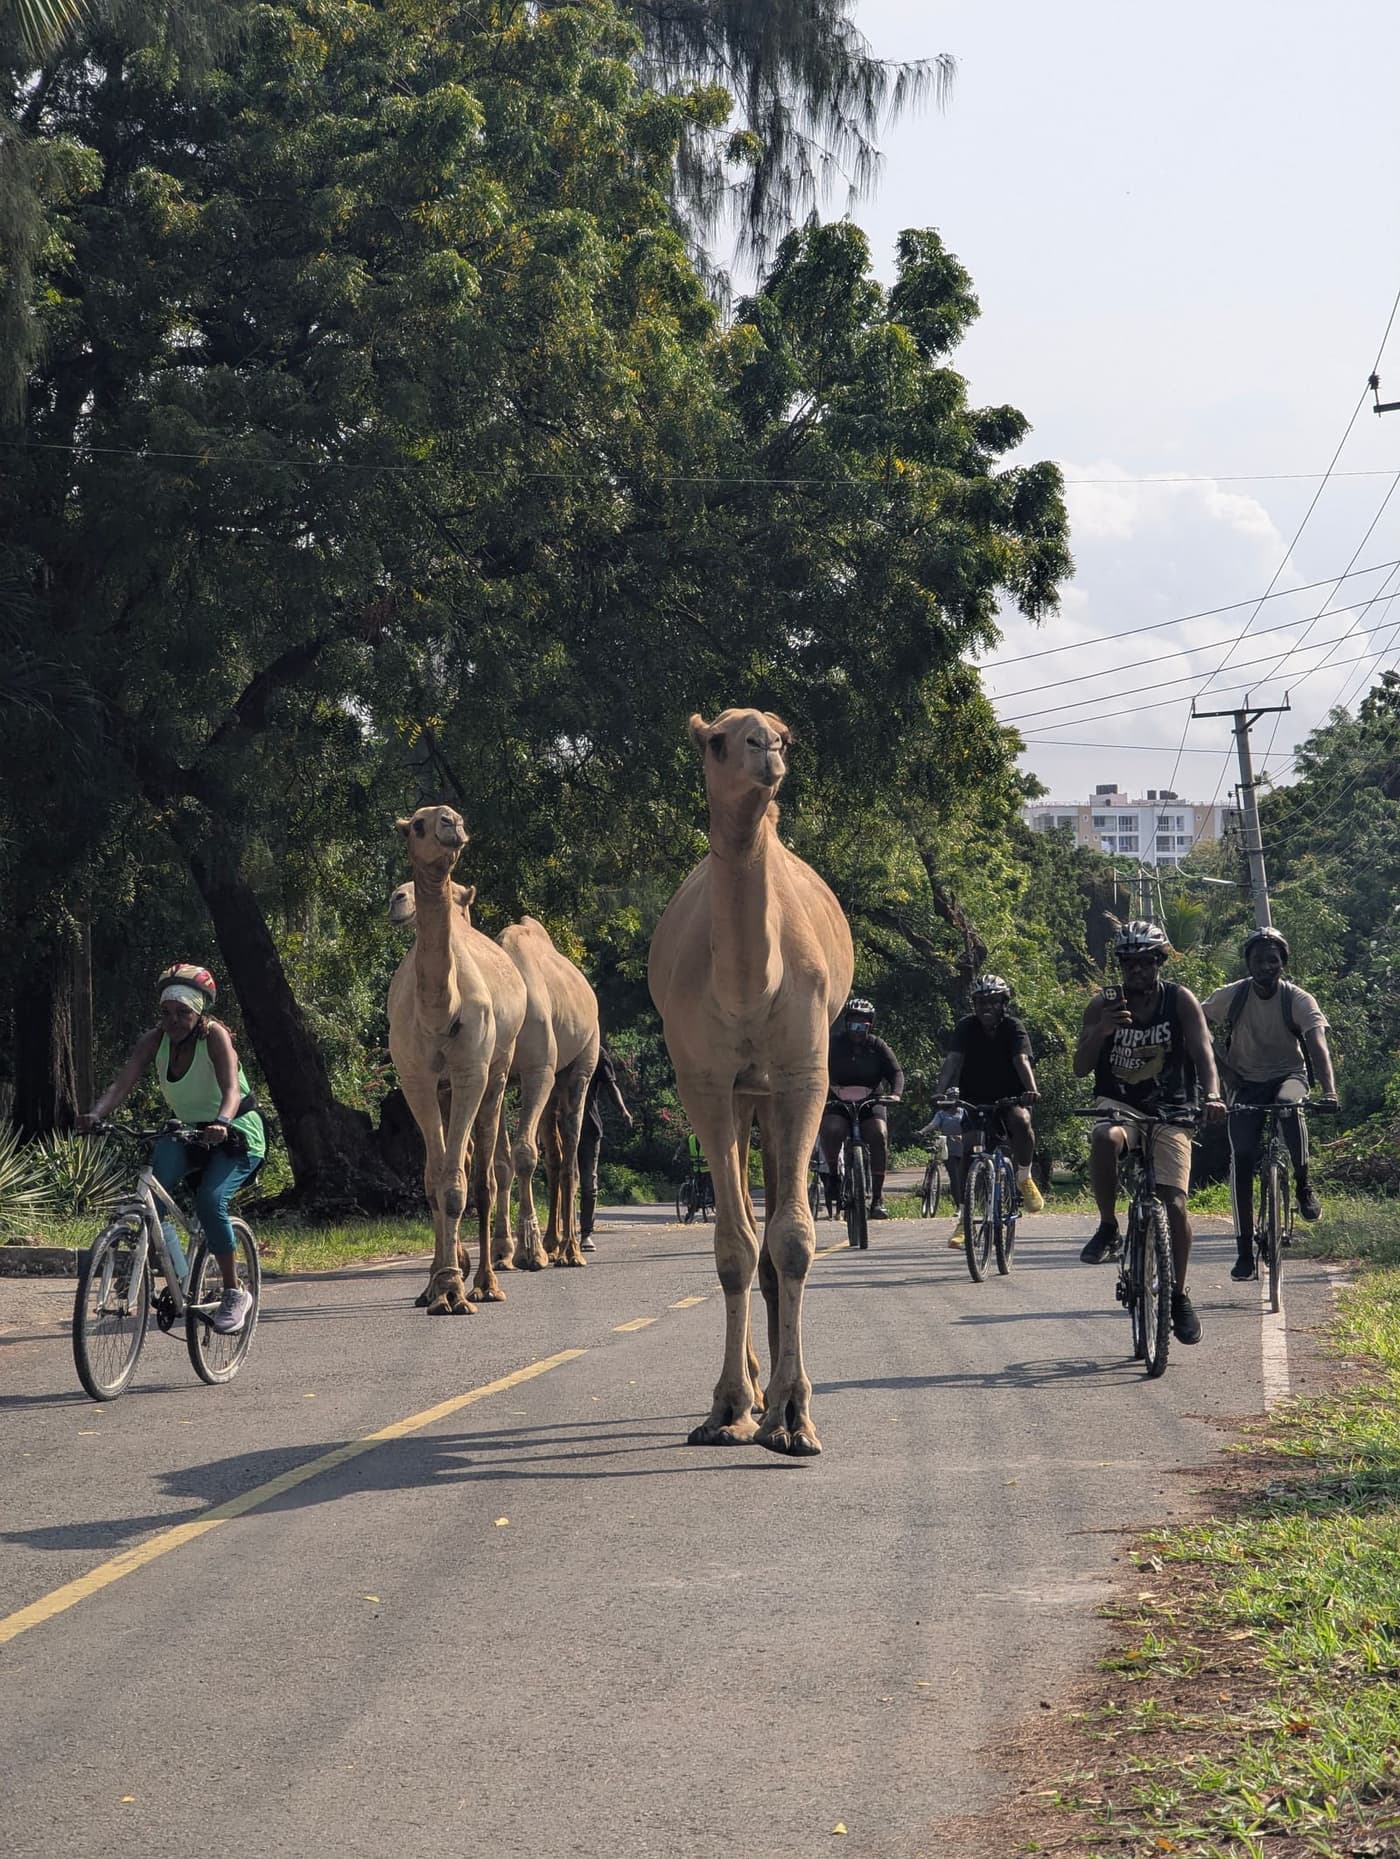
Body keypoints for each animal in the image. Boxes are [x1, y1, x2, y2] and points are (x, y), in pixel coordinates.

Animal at [386, 806, 527, 1314]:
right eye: (418, 825)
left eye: (452, 817)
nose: (452, 823)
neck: (440, 1014)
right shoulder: (416, 1078)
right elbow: (433, 1181)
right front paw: (439, 1284)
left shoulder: (470, 1072)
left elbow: (456, 1185)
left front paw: (454, 1290)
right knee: (455, 1164)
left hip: (498, 1072)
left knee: (484, 1176)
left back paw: (486, 1282)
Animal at [490, 918, 600, 1272]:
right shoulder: (499, 1077)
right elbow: (501, 1162)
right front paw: (502, 1252)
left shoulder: (537, 1071)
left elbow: (525, 1153)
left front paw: (530, 1253)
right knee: (556, 1156)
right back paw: (553, 1243)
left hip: (581, 1064)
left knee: (570, 1160)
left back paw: (571, 1251)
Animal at [648, 709, 854, 1456]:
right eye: (718, 741)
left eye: (783, 734)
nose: (765, 751)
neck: (748, 987)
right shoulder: (704, 1080)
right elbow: (733, 1247)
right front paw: (731, 1406)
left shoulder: (802, 1073)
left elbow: (792, 1239)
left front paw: (794, 1417)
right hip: (740, 1098)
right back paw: (755, 1389)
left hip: (766, 1094)